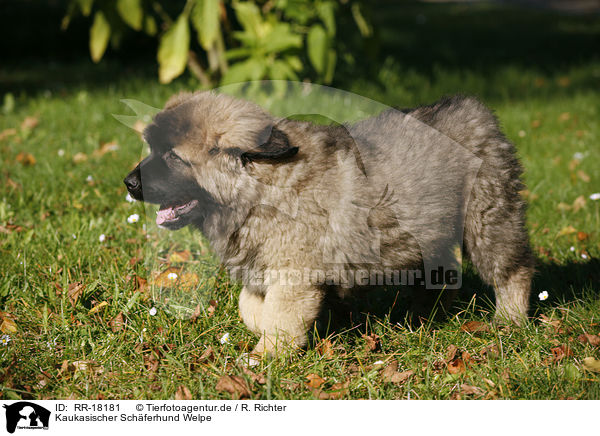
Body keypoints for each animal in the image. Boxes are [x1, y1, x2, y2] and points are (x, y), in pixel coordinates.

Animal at [125, 90, 536, 356]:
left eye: (172, 156)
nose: (129, 183)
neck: (261, 184)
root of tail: (475, 110)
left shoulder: (293, 275)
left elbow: (280, 317)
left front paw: (263, 357)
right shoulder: (261, 268)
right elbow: (250, 307)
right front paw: (265, 331)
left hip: (487, 217)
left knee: (512, 269)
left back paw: (509, 321)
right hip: (429, 229)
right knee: (444, 273)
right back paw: (426, 315)